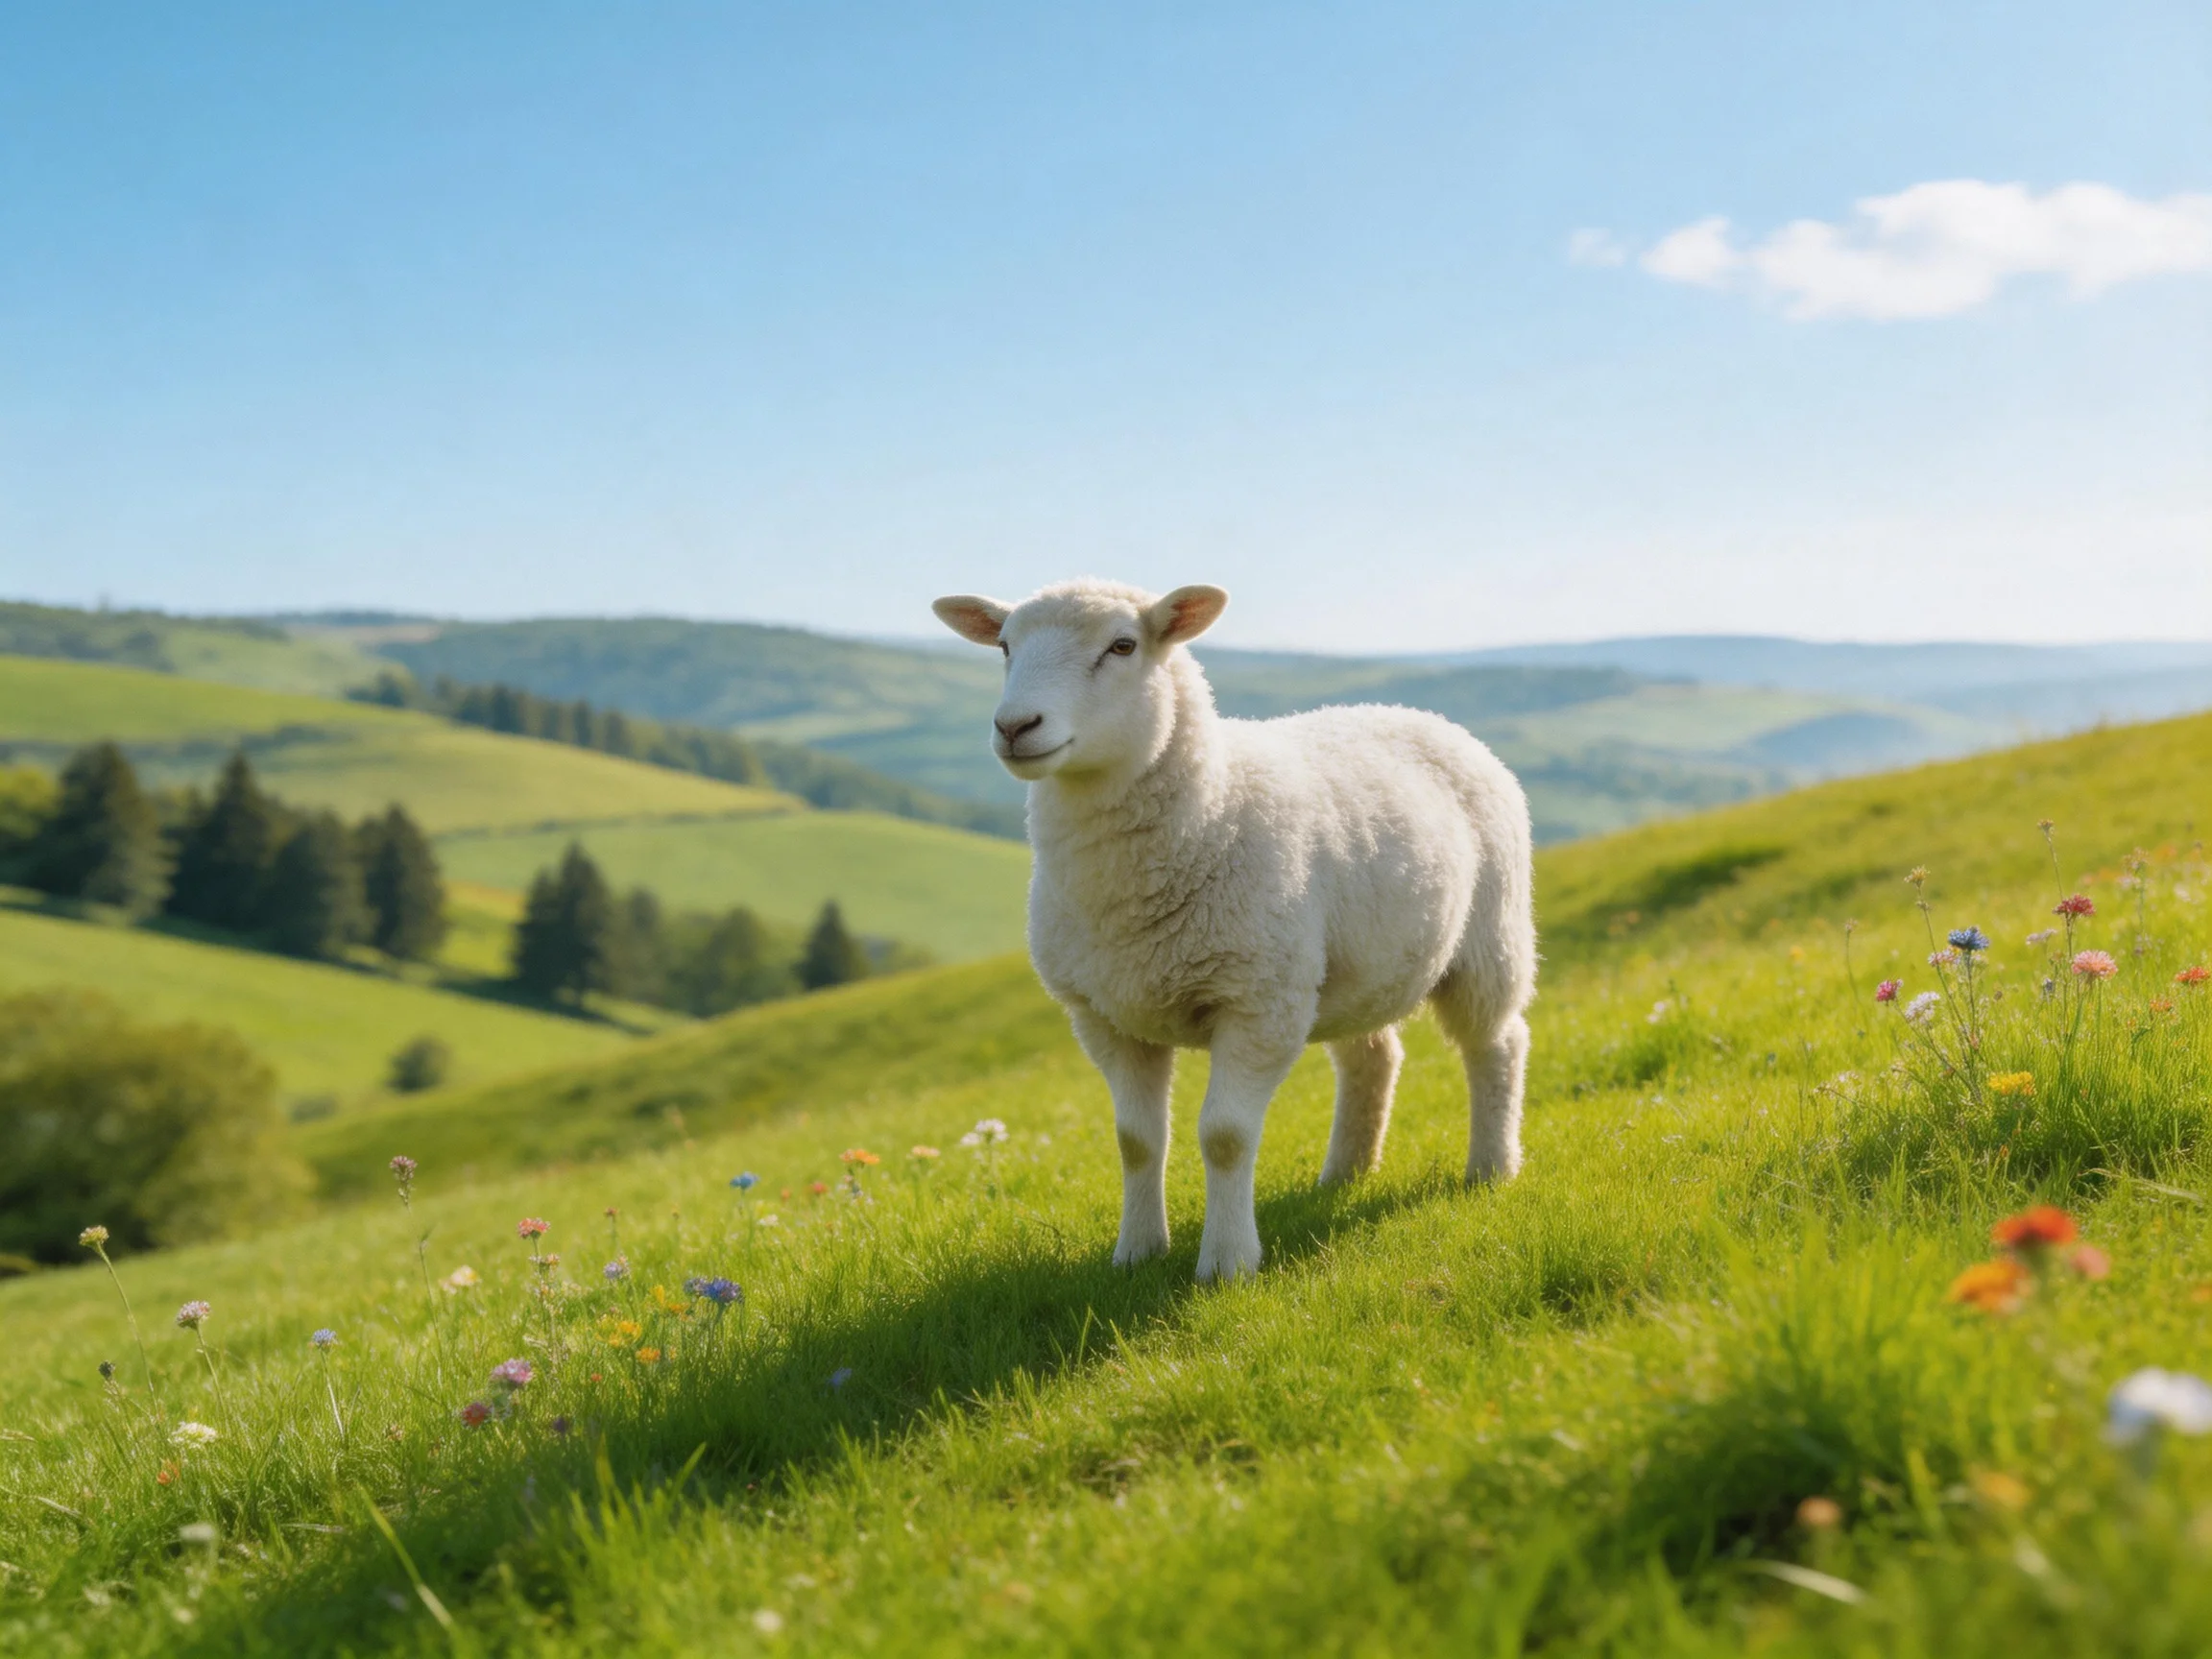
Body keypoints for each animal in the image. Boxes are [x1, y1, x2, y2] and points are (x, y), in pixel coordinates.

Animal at [931, 578, 1537, 1283]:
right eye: (1004, 646)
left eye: (1122, 645)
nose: (1014, 727)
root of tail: (1420, 715)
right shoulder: (1104, 1016)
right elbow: (1136, 1141)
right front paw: (1137, 1252)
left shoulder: (1257, 1002)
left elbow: (1224, 1136)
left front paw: (1227, 1263)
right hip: (1349, 969)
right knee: (1373, 1055)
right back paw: (1345, 1172)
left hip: (1489, 939)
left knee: (1497, 1044)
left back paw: (1491, 1168)